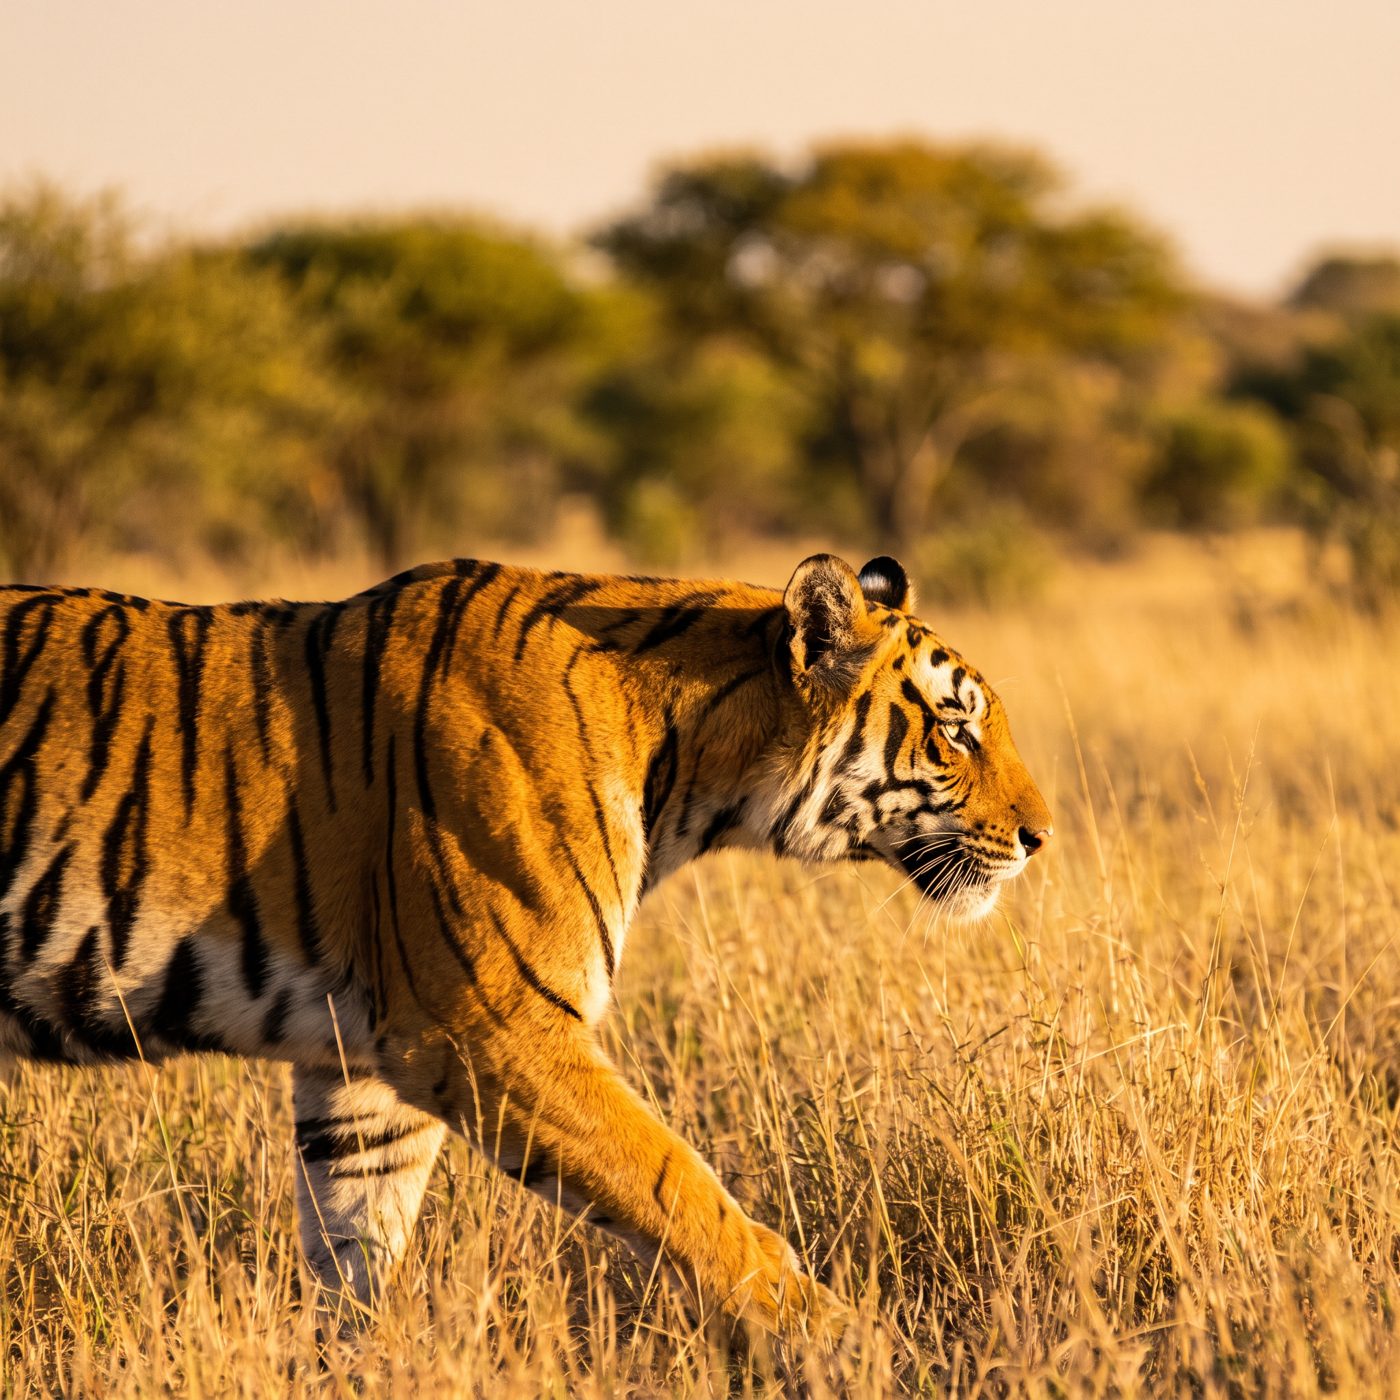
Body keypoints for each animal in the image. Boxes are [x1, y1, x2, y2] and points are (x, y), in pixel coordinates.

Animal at [0, 550, 1051, 1339]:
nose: (1041, 836)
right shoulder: (495, 1027)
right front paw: (852, 1346)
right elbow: (684, 1191)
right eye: (955, 731)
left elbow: (356, 1255)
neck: (693, 766)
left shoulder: (363, 1069)